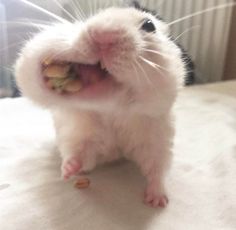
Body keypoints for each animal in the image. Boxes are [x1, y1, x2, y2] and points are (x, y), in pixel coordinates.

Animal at [15, 2, 187, 208]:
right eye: (93, 17)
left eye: (149, 25)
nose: (102, 35)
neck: (112, 110)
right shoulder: (79, 136)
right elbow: (79, 155)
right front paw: (67, 172)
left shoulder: (156, 138)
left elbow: (157, 168)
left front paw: (157, 202)